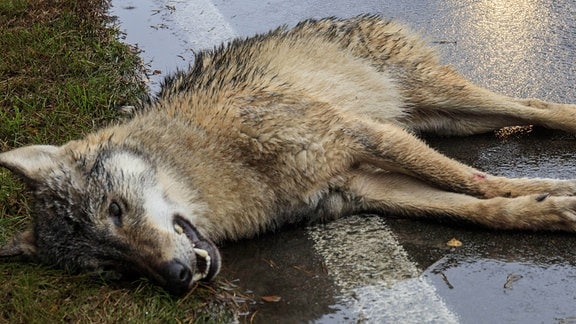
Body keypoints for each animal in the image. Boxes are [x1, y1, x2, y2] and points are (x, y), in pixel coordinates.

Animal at [1, 14, 576, 294]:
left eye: (115, 210)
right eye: (112, 267)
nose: (177, 279)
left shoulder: (360, 135)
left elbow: (476, 181)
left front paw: (557, 192)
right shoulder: (362, 187)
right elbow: (479, 209)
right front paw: (544, 211)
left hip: (443, 102)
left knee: (537, 106)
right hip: (447, 119)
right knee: (525, 111)